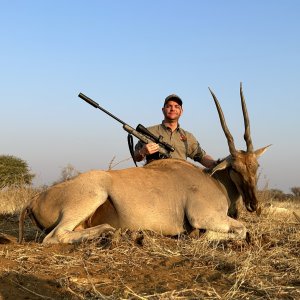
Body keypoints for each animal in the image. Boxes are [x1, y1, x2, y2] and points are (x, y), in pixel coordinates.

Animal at [19, 84, 270, 244]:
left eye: (256, 167)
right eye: (235, 168)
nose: (253, 205)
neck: (214, 181)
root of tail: (34, 200)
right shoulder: (203, 216)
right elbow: (241, 230)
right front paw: (196, 236)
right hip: (93, 194)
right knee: (54, 237)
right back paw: (110, 232)